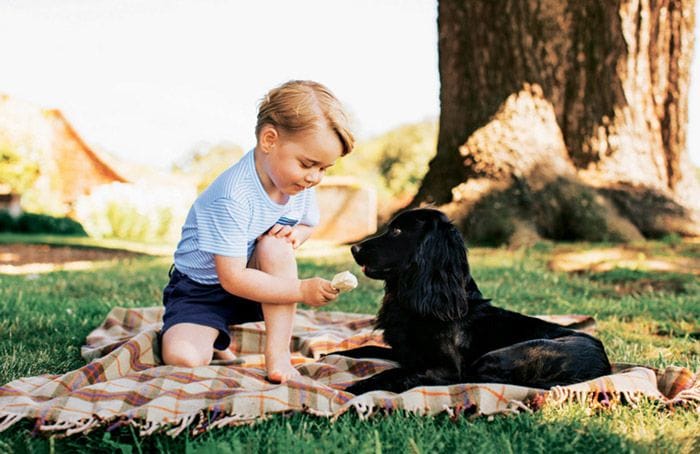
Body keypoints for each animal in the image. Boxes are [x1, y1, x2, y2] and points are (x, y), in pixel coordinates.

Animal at [332, 208, 608, 394]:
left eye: (397, 231)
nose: (354, 249)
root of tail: (603, 367)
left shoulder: (445, 367)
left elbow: (395, 372)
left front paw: (354, 387)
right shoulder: (406, 353)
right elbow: (361, 349)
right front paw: (329, 355)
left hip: (496, 357)